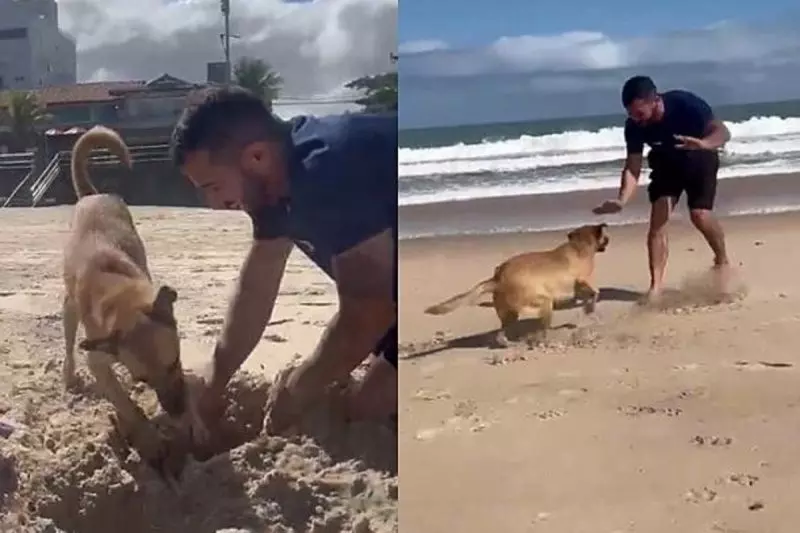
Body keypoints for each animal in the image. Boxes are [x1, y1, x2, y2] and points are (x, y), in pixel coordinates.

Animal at [428, 223, 608, 344]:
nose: (608, 240)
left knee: (501, 335)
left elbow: (589, 296)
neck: (579, 246)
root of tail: (497, 278)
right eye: (605, 238)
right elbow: (595, 292)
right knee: (542, 329)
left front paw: (588, 308)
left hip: (509, 313)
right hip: (543, 303)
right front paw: (590, 307)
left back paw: (510, 343)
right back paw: (541, 339)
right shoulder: (582, 281)